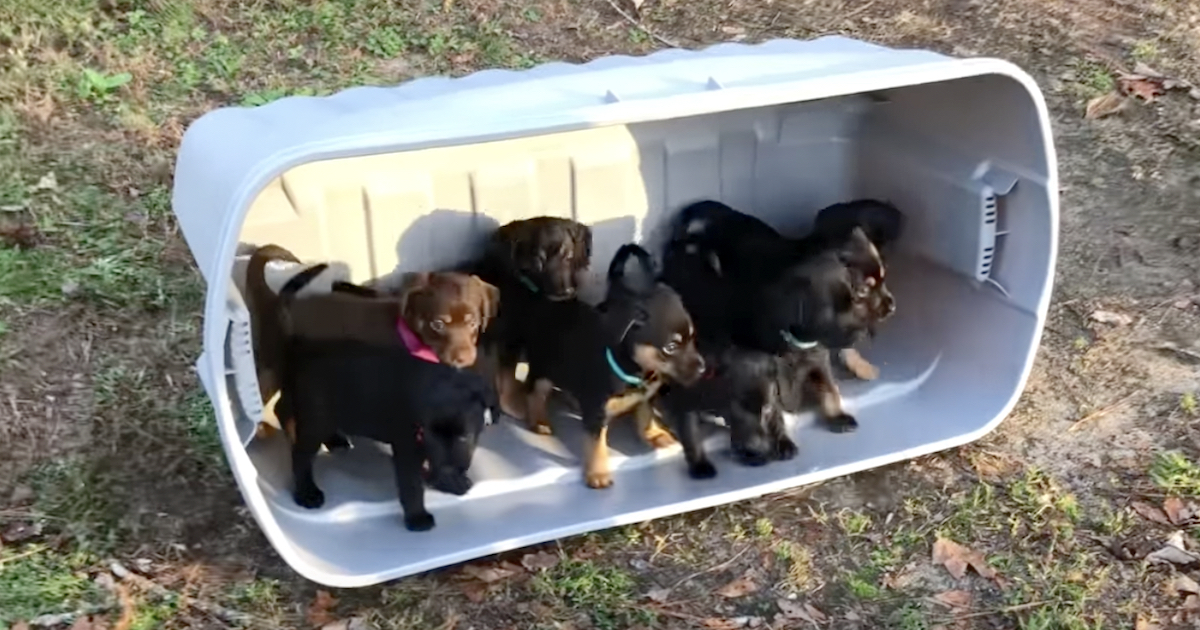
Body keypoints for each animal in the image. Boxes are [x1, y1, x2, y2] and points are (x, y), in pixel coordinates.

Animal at [282, 333, 496, 530]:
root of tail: (301, 349)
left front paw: (451, 482)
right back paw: (307, 493)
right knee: (300, 456)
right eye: (431, 435)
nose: (447, 473)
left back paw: (336, 441)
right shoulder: (408, 449)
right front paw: (418, 517)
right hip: (316, 418)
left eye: (464, 437)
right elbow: (412, 485)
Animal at [516, 244, 700, 487]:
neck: (637, 370)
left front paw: (654, 434)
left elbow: (646, 416)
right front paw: (598, 473)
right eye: (670, 347)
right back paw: (537, 420)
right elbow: (596, 444)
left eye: (692, 338)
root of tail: (549, 303)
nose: (702, 368)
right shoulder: (597, 412)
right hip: (543, 366)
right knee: (534, 391)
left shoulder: (645, 396)